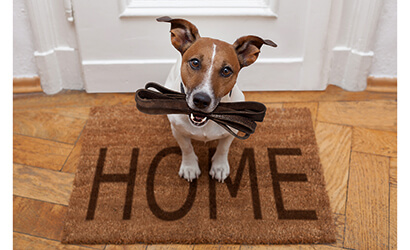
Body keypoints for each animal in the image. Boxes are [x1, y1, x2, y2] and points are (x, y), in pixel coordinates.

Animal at [159, 16, 278, 183]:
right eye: (195, 62)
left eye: (226, 70)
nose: (201, 100)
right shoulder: (178, 131)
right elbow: (186, 148)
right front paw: (190, 167)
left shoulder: (231, 132)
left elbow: (223, 148)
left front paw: (219, 167)